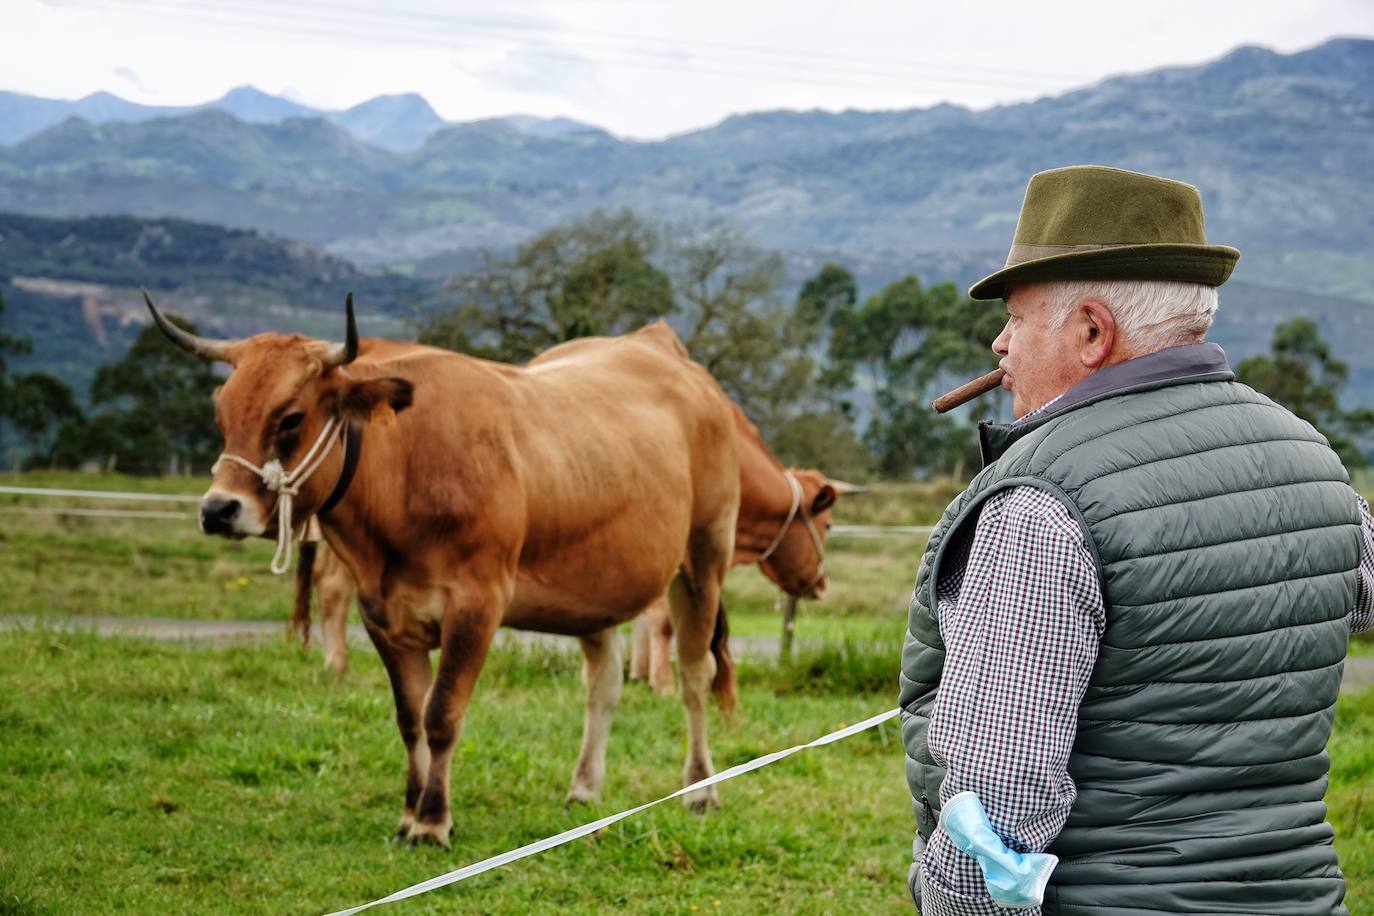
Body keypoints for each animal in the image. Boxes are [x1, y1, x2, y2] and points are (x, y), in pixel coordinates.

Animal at [147, 299, 741, 845]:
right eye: (222, 414)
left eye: (290, 417)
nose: (218, 509)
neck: (406, 469)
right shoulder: (381, 613)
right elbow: (410, 717)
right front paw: (409, 814)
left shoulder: (476, 605)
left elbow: (442, 714)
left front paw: (433, 822)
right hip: (594, 588)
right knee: (604, 683)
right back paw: (584, 789)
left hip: (703, 557)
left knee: (695, 676)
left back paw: (701, 790)